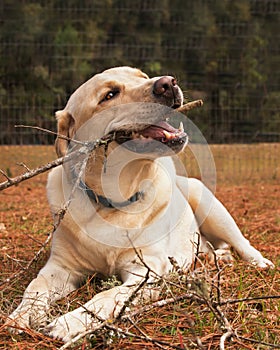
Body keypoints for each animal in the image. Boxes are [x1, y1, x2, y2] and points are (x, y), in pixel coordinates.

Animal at [6, 65, 274, 342]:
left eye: (142, 77)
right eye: (109, 95)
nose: (168, 83)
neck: (113, 200)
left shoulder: (147, 270)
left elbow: (107, 295)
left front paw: (69, 322)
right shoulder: (60, 267)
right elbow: (34, 288)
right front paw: (21, 316)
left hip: (205, 199)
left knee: (241, 243)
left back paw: (257, 262)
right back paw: (215, 258)